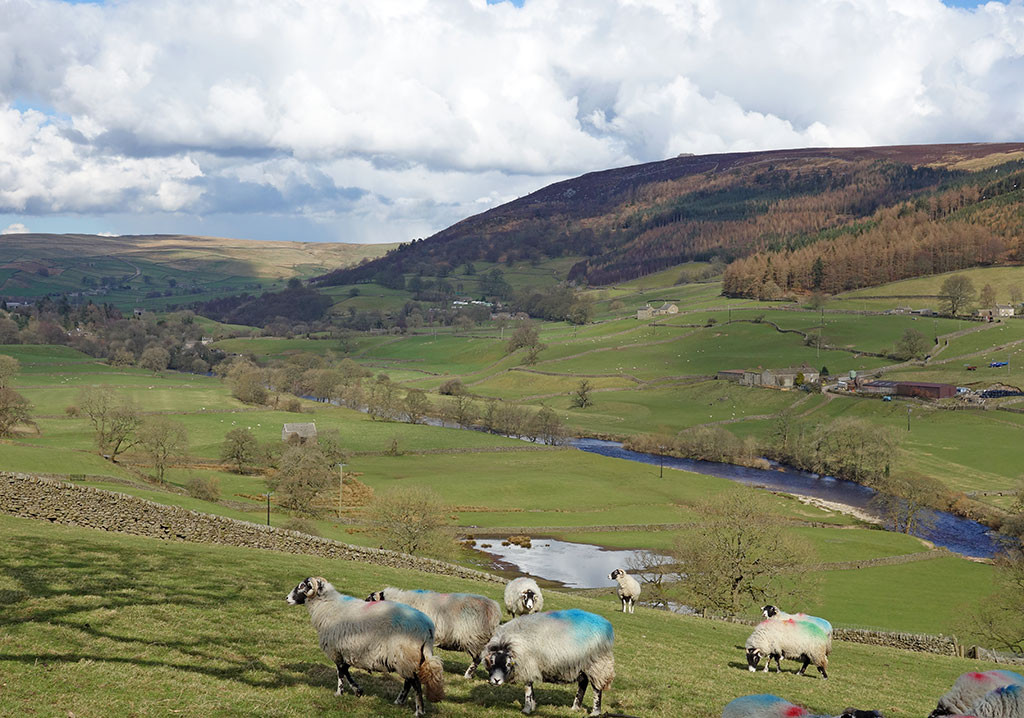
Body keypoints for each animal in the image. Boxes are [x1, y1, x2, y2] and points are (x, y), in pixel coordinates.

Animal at [288, 577, 448, 716]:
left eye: (302, 586)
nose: (287, 598)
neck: (327, 606)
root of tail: (428, 627)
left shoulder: (337, 650)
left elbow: (340, 672)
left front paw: (339, 692)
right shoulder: (349, 651)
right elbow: (345, 671)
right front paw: (357, 690)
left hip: (405, 656)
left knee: (415, 683)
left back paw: (419, 711)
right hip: (407, 658)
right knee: (409, 682)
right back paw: (399, 701)